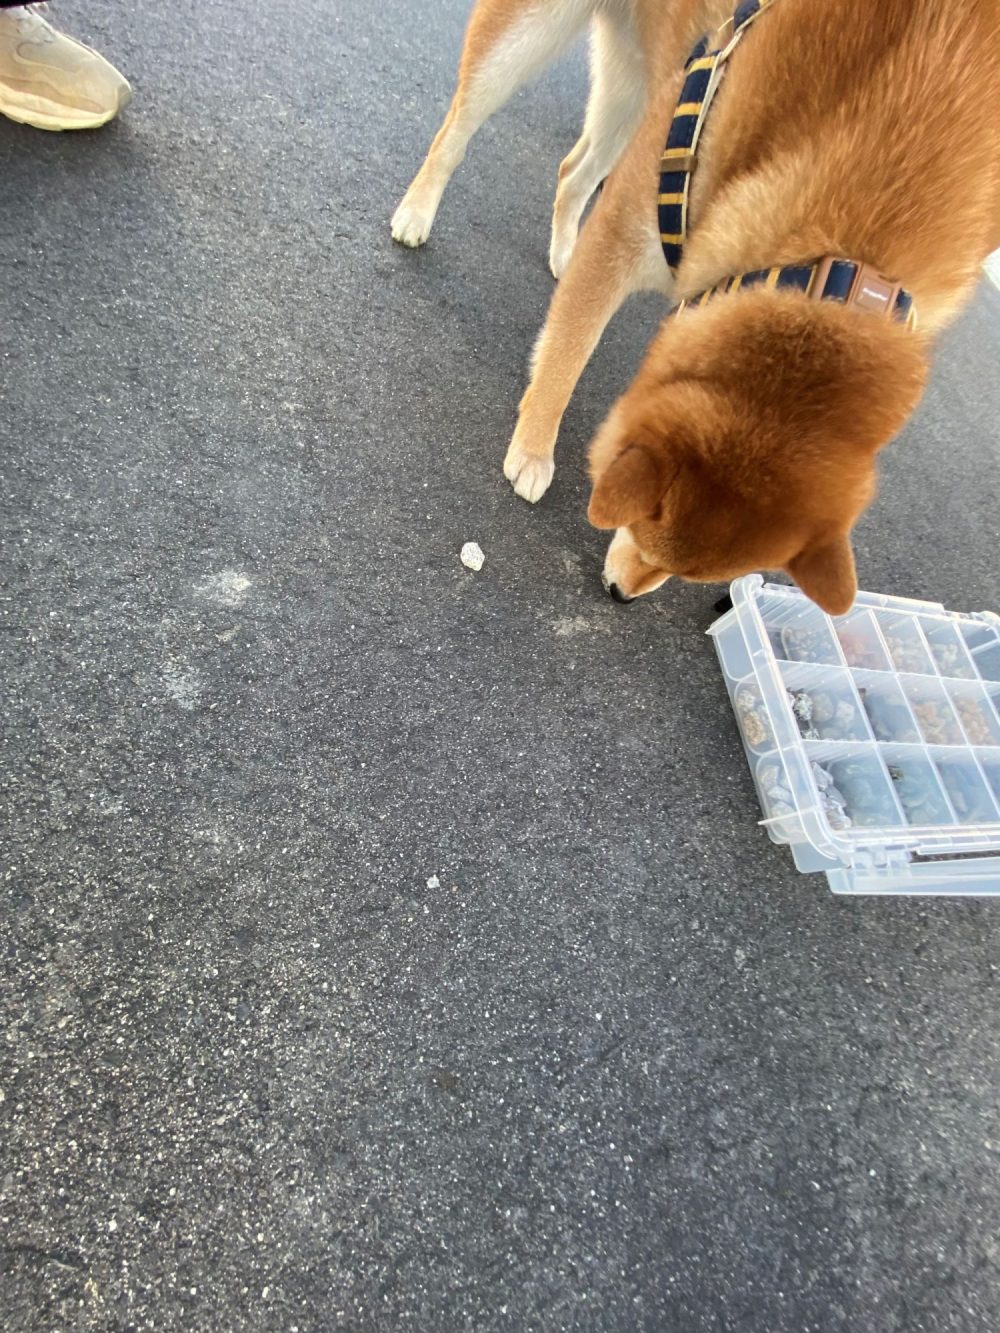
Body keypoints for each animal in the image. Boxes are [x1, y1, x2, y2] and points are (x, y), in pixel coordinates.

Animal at [394, 0, 1000, 613]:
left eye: (691, 576)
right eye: (643, 533)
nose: (620, 596)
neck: (846, 256)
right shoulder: (625, 230)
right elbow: (568, 354)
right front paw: (535, 450)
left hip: (635, 91)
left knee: (574, 170)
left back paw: (563, 251)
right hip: (527, 43)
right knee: (458, 126)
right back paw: (416, 213)